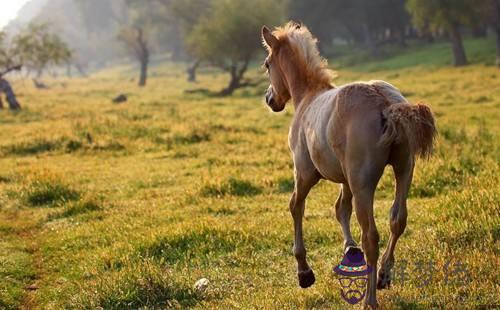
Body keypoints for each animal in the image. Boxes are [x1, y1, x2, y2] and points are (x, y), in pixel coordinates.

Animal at [260, 21, 436, 308]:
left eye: (267, 64)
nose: (270, 99)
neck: (307, 97)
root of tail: (385, 102)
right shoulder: (346, 178)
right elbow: (341, 208)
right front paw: (349, 250)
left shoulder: (304, 173)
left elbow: (296, 206)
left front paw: (304, 273)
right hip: (403, 169)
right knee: (397, 220)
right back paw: (383, 275)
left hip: (364, 183)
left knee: (371, 235)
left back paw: (370, 300)